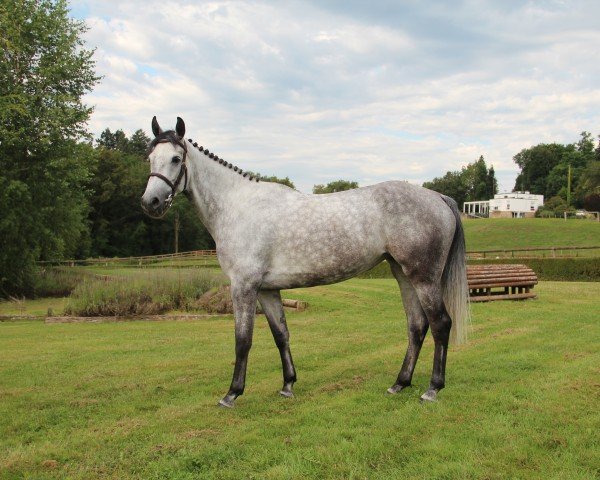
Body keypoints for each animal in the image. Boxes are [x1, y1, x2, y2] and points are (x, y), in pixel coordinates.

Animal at [141, 116, 468, 404]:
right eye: (150, 157)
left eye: (175, 159)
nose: (150, 202)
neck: (239, 206)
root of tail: (438, 197)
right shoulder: (267, 289)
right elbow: (281, 334)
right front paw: (288, 385)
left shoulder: (243, 287)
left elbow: (242, 340)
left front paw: (232, 393)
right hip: (402, 273)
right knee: (416, 326)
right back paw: (400, 383)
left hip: (424, 278)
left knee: (440, 324)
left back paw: (432, 389)